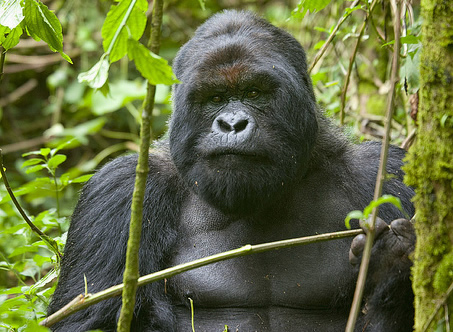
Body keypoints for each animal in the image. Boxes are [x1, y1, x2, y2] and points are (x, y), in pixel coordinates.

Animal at [47, 10, 414, 332]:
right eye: (215, 98)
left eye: (253, 92)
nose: (232, 124)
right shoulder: (118, 191)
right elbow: (85, 321)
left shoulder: (385, 173)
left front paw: (390, 263)